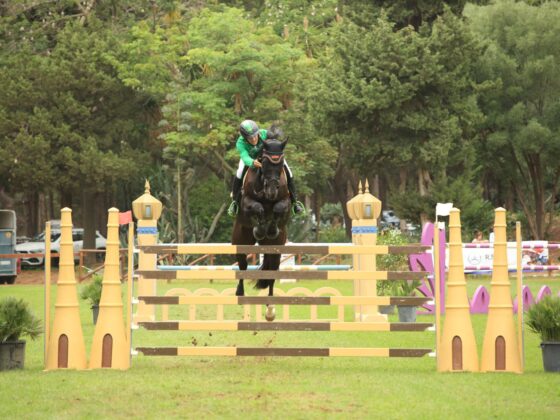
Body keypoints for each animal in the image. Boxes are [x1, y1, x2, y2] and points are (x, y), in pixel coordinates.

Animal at [233, 138, 294, 322]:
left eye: (281, 163)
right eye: (264, 162)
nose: (272, 191)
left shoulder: (285, 201)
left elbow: (279, 208)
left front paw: (271, 228)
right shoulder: (246, 201)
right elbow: (257, 207)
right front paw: (260, 229)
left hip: (275, 251)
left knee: (272, 274)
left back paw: (270, 309)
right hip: (240, 241)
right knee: (243, 267)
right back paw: (240, 294)